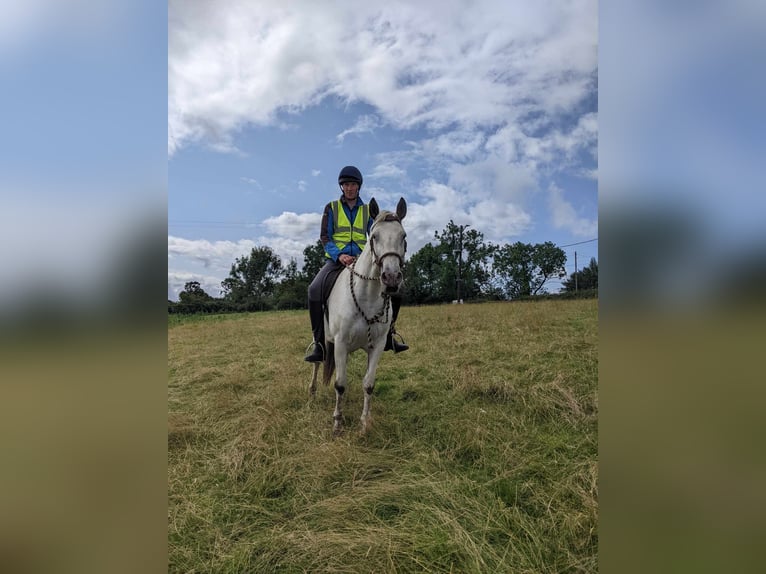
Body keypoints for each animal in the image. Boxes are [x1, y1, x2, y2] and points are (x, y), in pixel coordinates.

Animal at [310, 199, 412, 436]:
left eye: (403, 236)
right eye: (374, 236)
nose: (391, 278)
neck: (367, 296)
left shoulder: (377, 345)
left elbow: (368, 384)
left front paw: (365, 423)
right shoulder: (339, 343)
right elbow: (340, 384)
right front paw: (337, 423)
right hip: (325, 341)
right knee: (318, 362)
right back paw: (312, 392)